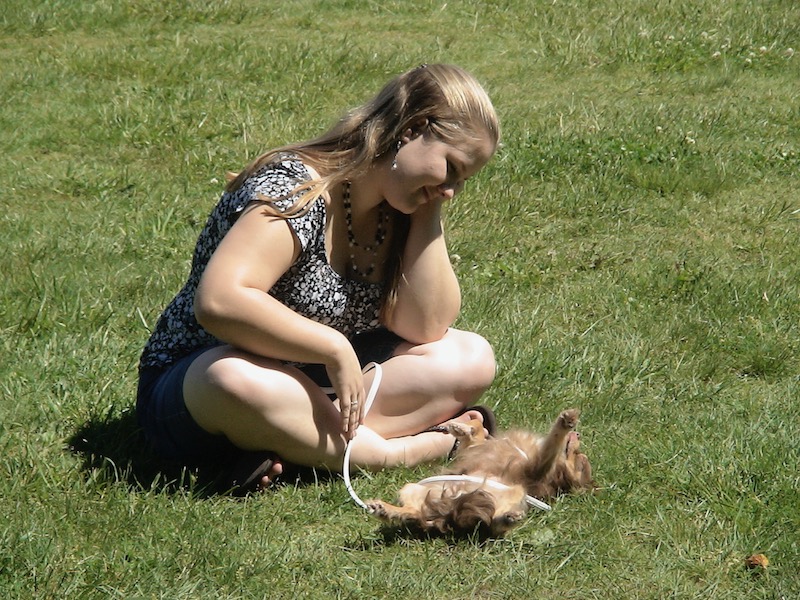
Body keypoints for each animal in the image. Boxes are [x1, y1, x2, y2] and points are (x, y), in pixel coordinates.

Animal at [366, 410, 592, 536]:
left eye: (580, 460)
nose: (578, 433)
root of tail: (452, 509)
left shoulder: (537, 466)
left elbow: (553, 441)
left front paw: (565, 422)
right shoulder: (474, 448)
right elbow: (476, 429)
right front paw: (458, 427)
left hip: (516, 492)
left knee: (494, 526)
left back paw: (507, 518)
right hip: (411, 488)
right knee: (414, 512)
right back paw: (385, 509)